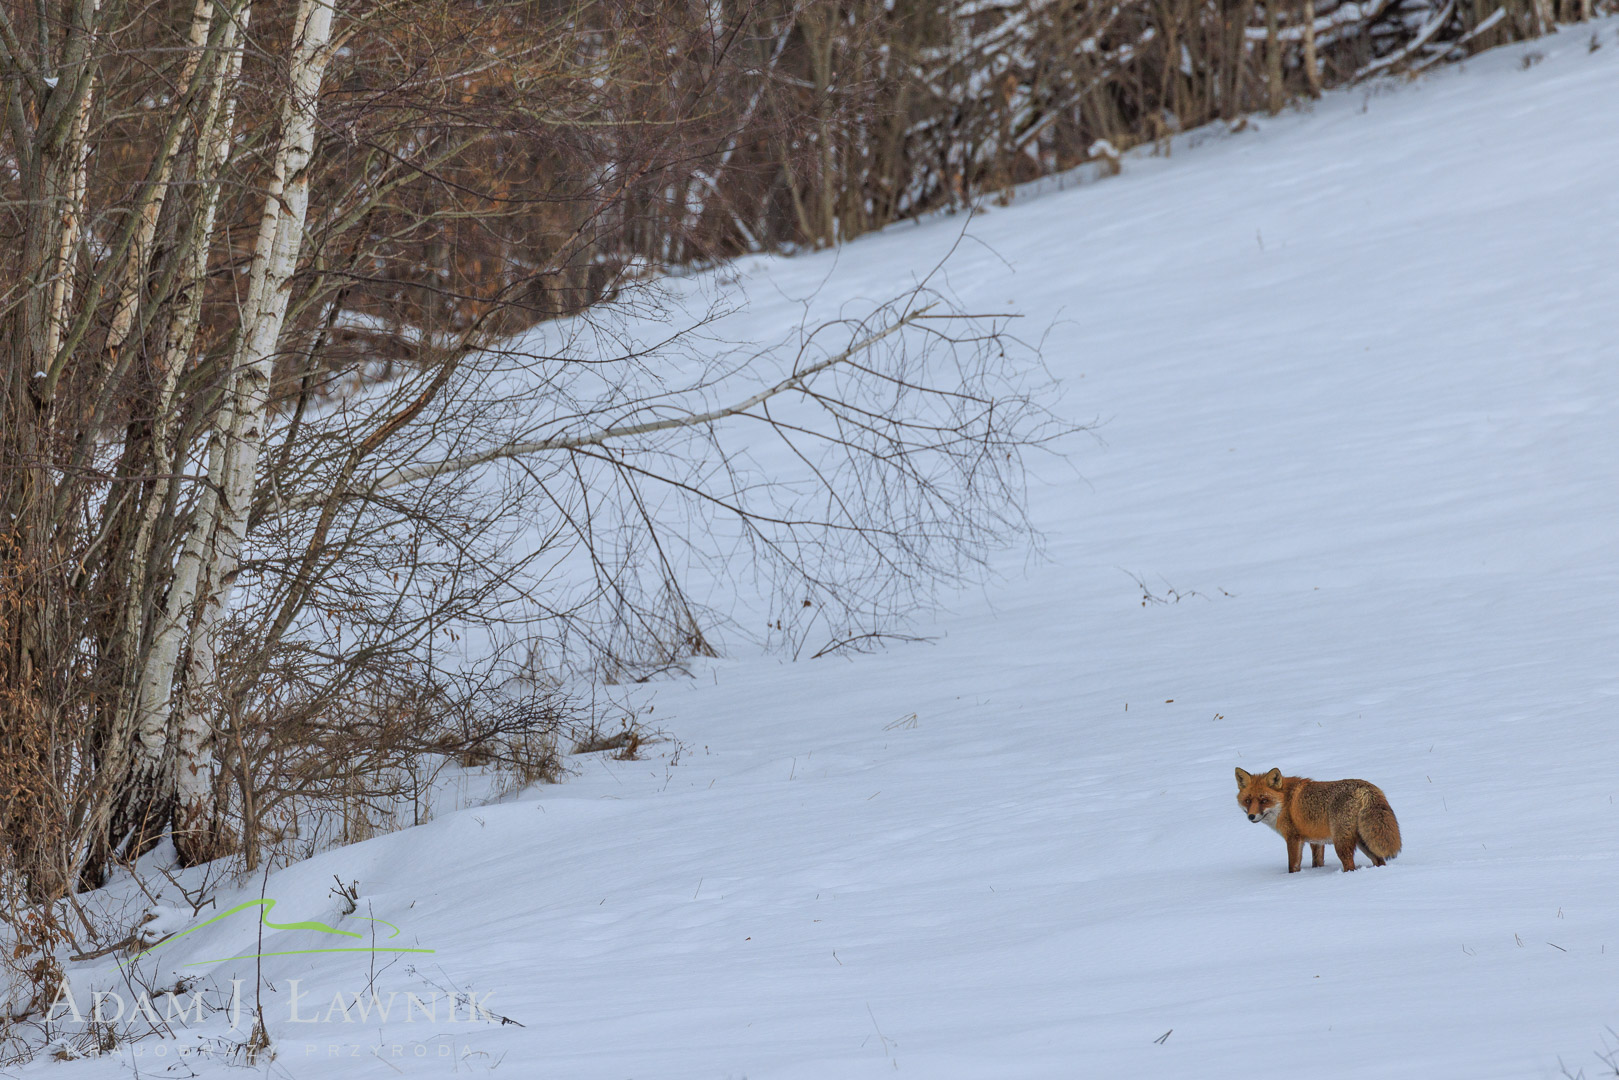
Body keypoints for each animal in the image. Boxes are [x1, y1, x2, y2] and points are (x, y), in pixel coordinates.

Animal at [1230, 764, 1398, 874]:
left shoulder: (1294, 838)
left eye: (1264, 800)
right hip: (1364, 841)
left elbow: (1293, 866)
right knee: (1380, 861)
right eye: (1248, 801)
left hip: (1342, 843)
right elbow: (1317, 863)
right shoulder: (1315, 841)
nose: (1251, 816)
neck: (1285, 802)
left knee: (1350, 866)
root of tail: (1366, 788)